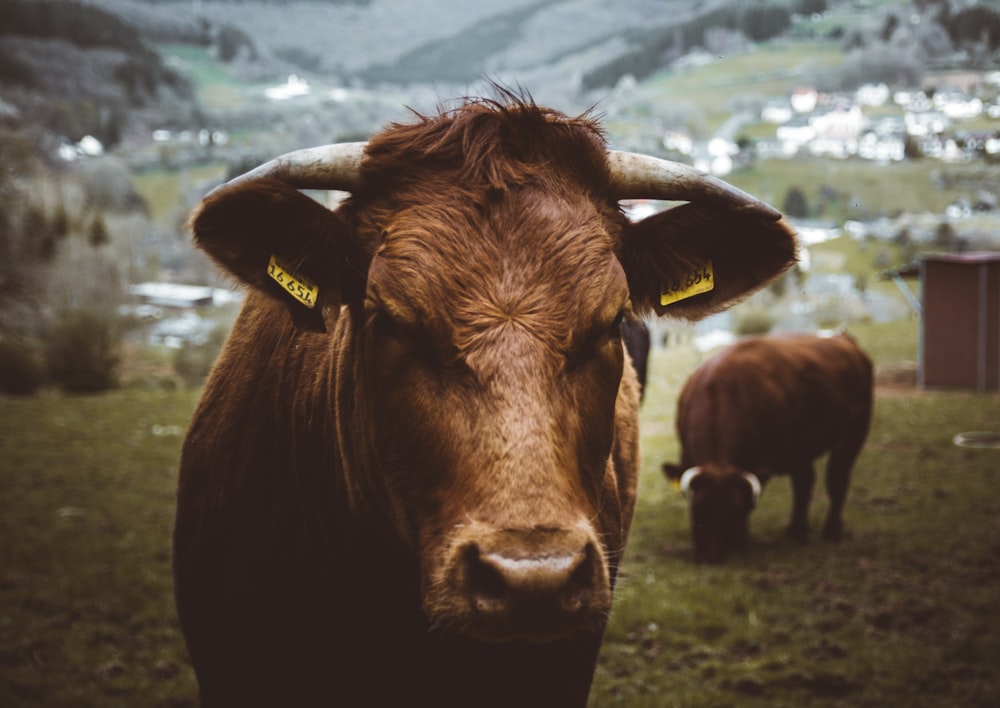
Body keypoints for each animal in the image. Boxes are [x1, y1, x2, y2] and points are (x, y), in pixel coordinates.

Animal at [668, 332, 872, 564]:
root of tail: (842, 339)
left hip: (852, 435)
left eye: (736, 512)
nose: (711, 556)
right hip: (801, 451)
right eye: (698, 511)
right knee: (804, 484)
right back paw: (796, 531)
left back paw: (831, 531)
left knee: (836, 480)